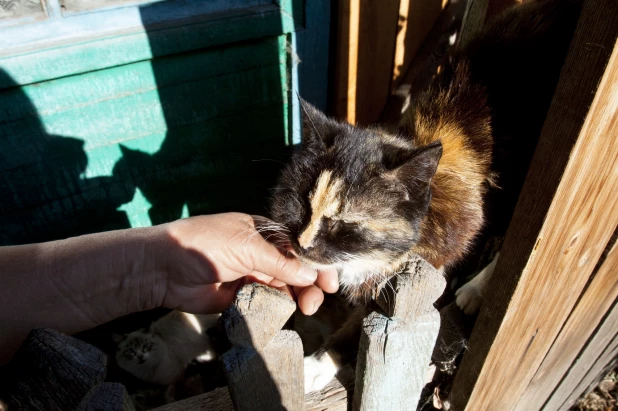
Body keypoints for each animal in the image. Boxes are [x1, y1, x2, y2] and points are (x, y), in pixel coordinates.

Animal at [268, 0, 576, 394]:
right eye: (302, 204)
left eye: (345, 223)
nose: (303, 244)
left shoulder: (441, 252)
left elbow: (370, 326)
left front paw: (316, 364)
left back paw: (477, 288)